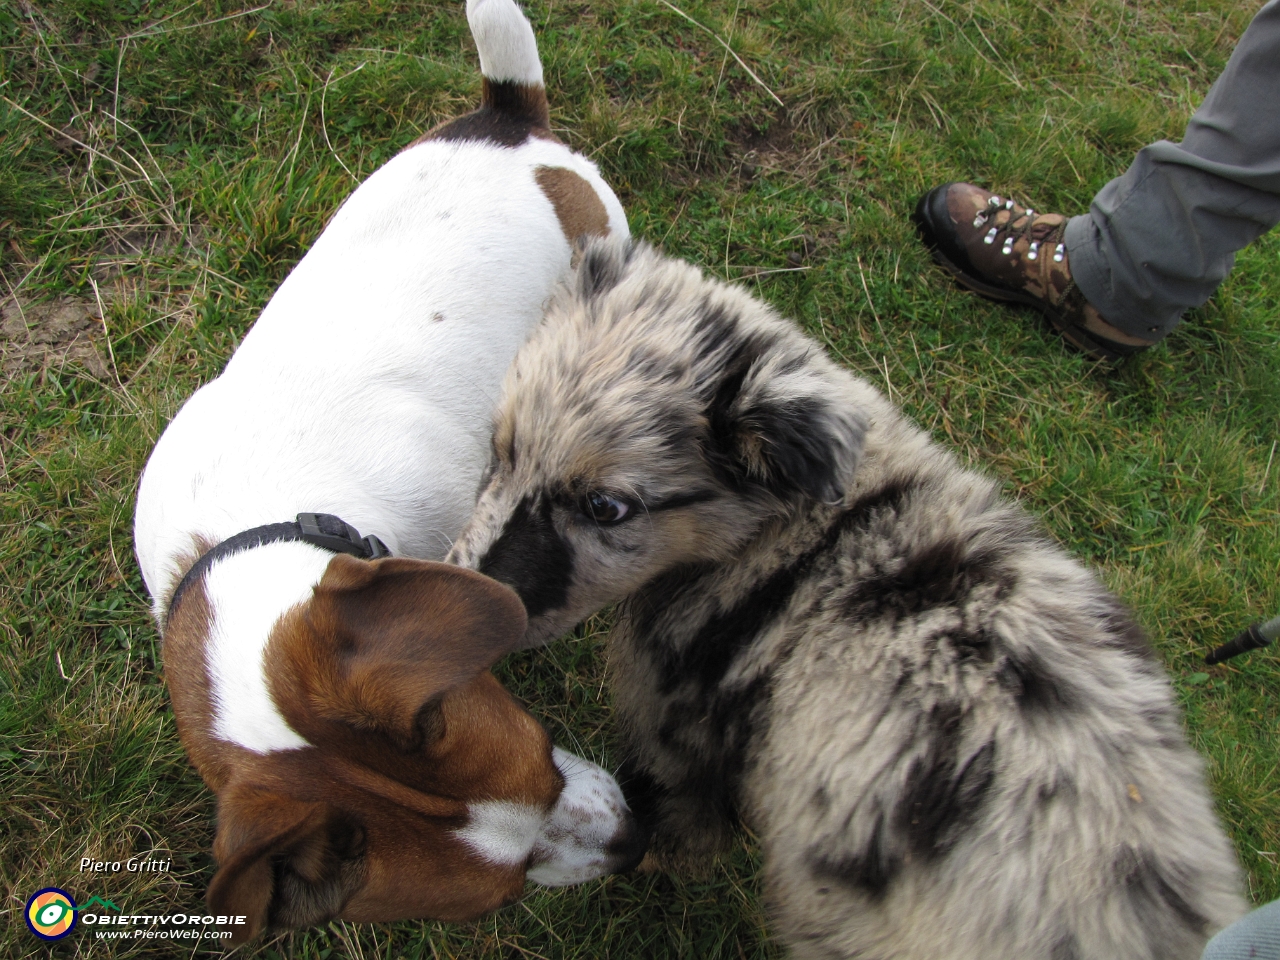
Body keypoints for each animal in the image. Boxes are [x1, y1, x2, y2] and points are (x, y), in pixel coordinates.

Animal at [448, 240, 1239, 960]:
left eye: (606, 507)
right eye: (500, 449)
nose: (474, 598)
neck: (818, 534)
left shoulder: (679, 734)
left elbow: (676, 823)